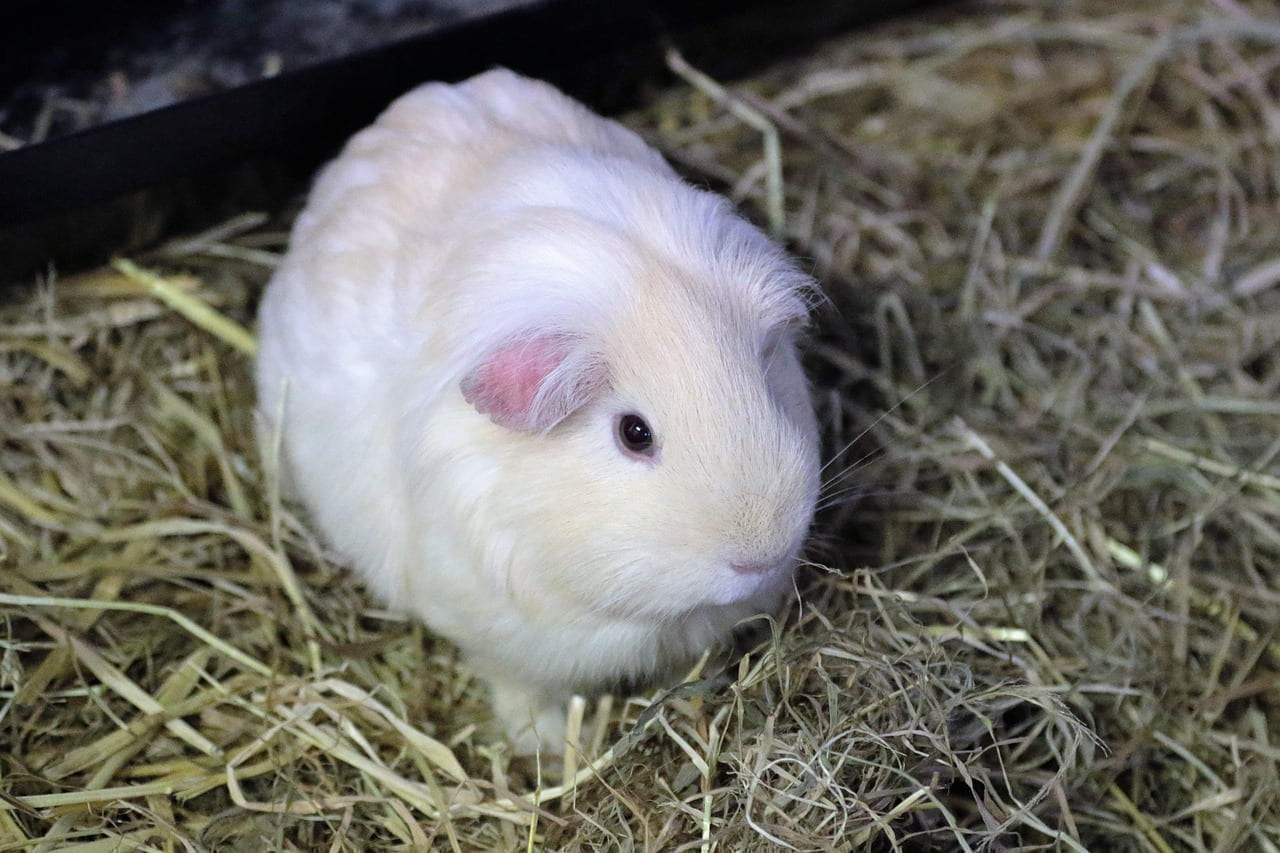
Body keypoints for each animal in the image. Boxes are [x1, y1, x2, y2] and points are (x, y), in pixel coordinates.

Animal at [254, 69, 820, 753]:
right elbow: (521, 692)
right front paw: (553, 747)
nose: (760, 556)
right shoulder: (506, 641)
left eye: (767, 385)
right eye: (634, 433)